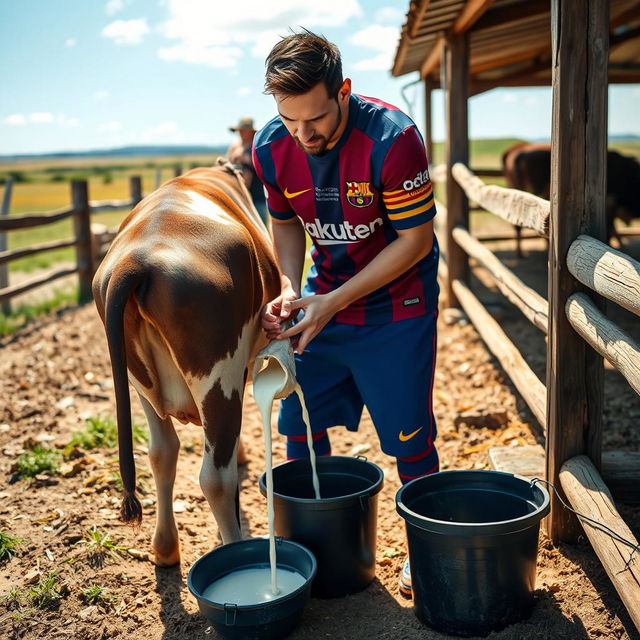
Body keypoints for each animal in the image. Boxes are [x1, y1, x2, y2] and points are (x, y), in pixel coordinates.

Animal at [92, 161, 280, 564]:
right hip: (220, 378)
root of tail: (136, 258)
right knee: (216, 477)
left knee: (162, 452)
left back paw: (165, 548)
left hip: (140, 382)